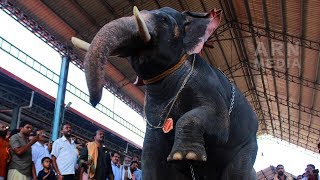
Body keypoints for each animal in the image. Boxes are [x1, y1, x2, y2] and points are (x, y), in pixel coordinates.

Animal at [71, 5, 258, 179]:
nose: (94, 102)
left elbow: (220, 124)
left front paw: (186, 155)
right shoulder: (153, 104)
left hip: (247, 147)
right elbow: (151, 148)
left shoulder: (208, 85)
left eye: (163, 19)